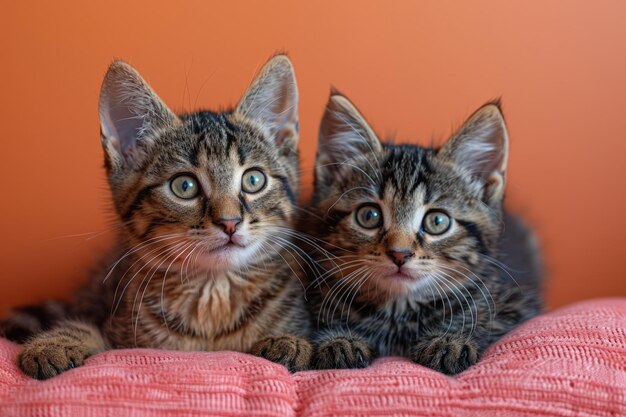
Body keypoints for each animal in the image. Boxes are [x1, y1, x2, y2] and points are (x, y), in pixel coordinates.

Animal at [0, 54, 312, 376]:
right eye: (184, 186)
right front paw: (53, 344)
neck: (213, 294)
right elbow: (87, 327)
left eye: (253, 180)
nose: (229, 222)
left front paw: (286, 341)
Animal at [302, 93, 540, 374]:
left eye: (437, 221)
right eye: (369, 216)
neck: (398, 313)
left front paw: (449, 340)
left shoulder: (516, 304)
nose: (399, 254)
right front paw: (340, 340)